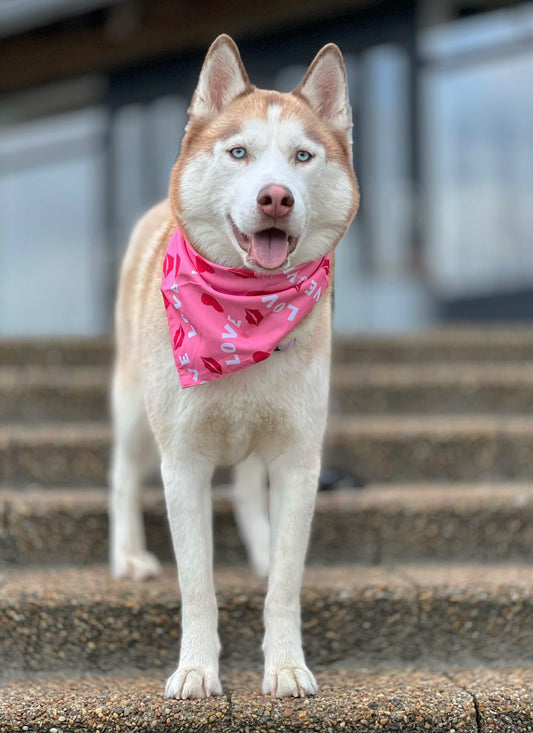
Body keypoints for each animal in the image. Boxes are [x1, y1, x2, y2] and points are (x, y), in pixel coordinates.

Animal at [109, 34, 358, 696]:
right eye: (239, 153)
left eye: (302, 157)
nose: (276, 196)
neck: (244, 314)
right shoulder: (183, 462)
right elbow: (197, 583)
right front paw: (196, 669)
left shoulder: (299, 458)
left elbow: (287, 585)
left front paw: (286, 665)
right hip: (135, 412)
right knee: (122, 475)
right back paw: (128, 555)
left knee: (248, 490)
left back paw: (262, 549)